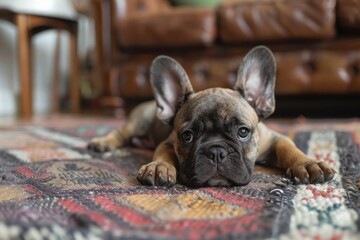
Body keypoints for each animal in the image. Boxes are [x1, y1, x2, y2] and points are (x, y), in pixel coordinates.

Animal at [88, 45, 336, 188]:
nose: (216, 152)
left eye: (243, 132)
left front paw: (308, 163)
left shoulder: (275, 137)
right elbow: (163, 153)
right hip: (138, 121)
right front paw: (159, 166)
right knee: (120, 133)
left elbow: (288, 147)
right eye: (187, 136)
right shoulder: (168, 142)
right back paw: (102, 142)